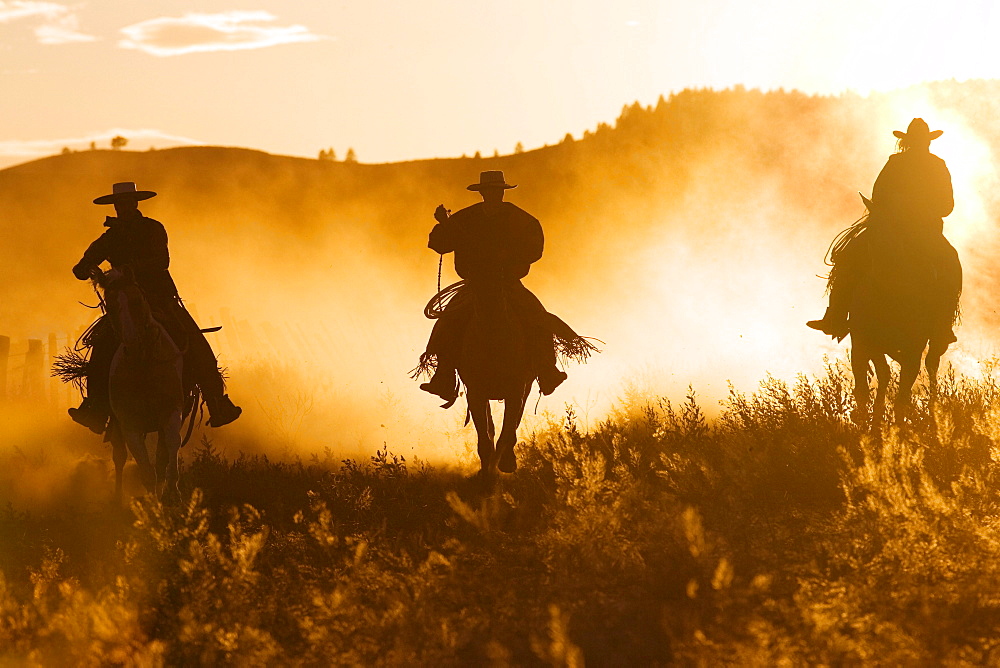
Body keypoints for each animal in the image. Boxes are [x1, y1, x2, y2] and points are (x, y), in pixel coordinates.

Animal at [96, 268, 187, 500]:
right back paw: (118, 497)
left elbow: (172, 444)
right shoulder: (128, 423)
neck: (144, 364)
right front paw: (152, 502)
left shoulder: (171, 411)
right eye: (110, 306)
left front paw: (172, 491)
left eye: (137, 300)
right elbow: (143, 466)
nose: (133, 345)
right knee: (119, 456)